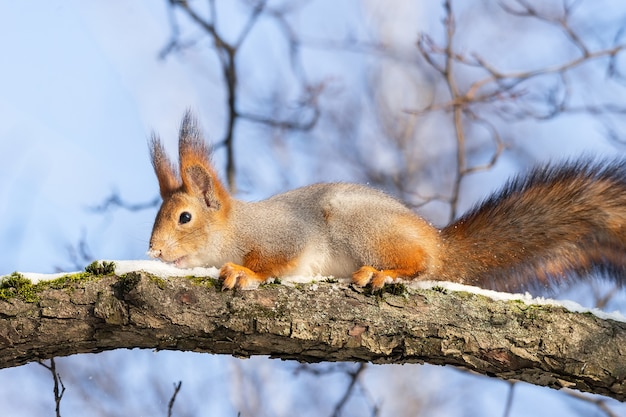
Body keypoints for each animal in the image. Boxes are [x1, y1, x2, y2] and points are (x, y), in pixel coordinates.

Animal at [147, 112, 624, 290]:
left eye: (185, 217)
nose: (152, 251)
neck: (236, 228)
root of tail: (438, 242)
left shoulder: (285, 235)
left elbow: (275, 261)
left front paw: (242, 271)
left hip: (361, 228)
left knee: (419, 264)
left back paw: (382, 272)